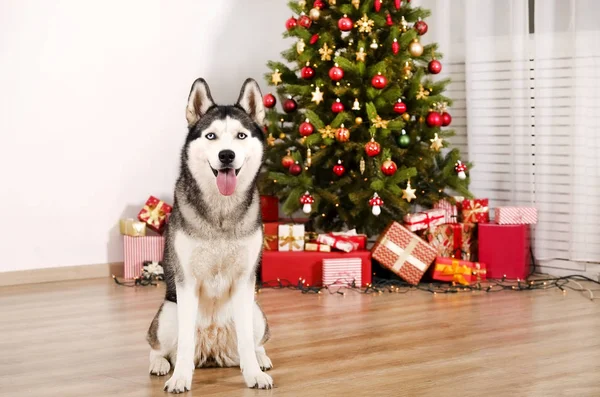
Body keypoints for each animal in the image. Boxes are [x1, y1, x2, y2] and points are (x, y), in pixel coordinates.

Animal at [148, 78, 274, 392]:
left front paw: (254, 374)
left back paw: (260, 358)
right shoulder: (187, 282)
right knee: (157, 346)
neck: (221, 213)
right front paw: (180, 377)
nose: (226, 155)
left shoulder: (244, 281)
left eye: (241, 135)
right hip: (168, 313)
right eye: (211, 136)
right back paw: (159, 364)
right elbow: (183, 346)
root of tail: (213, 351)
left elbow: (246, 342)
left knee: (254, 342)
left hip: (256, 312)